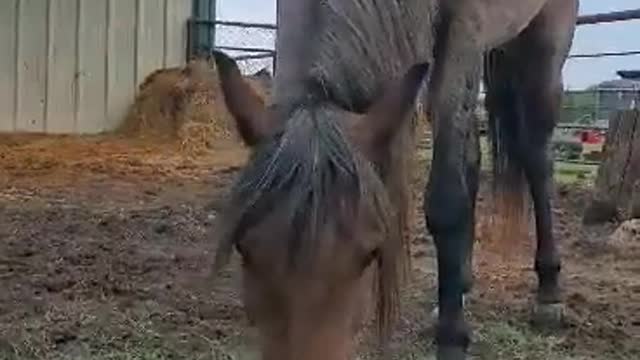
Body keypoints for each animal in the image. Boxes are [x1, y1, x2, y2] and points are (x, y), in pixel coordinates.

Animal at [211, 0, 580, 358]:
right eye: (243, 248)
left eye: (371, 253)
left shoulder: (464, 35)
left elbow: (446, 205)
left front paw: (452, 339)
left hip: (544, 42)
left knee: (536, 156)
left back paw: (548, 292)